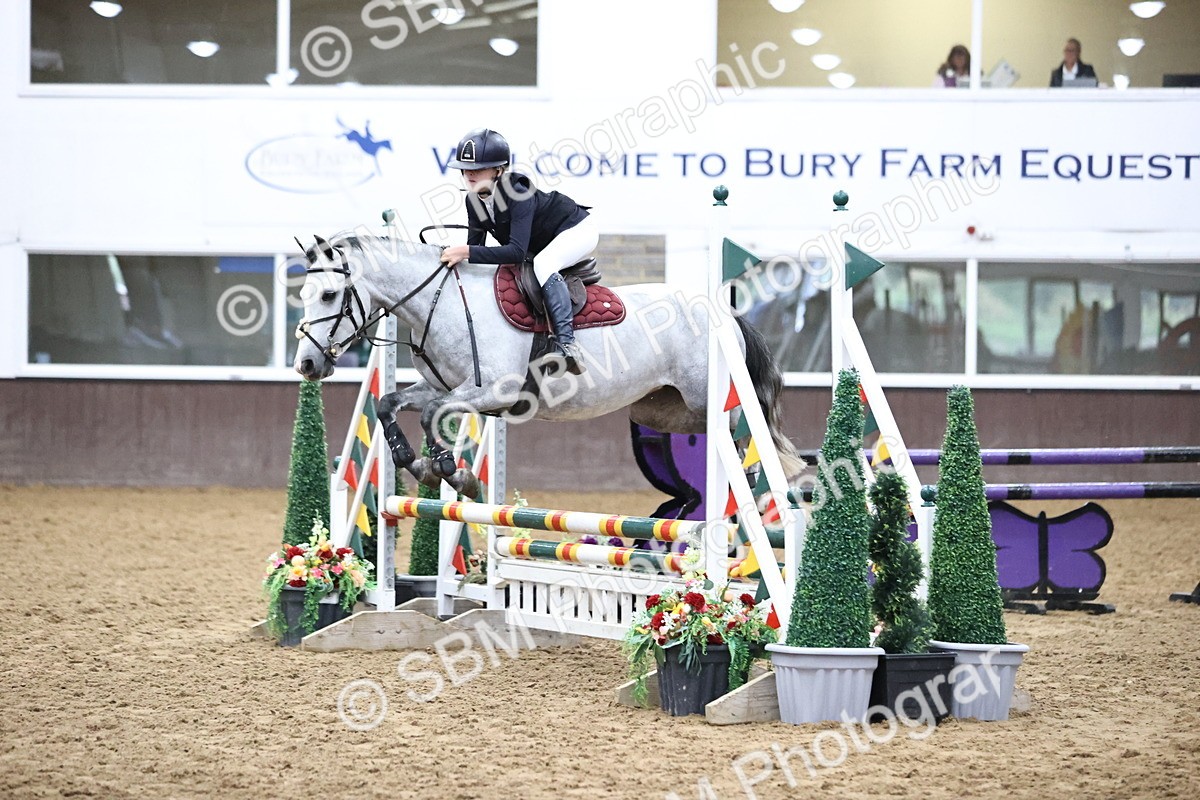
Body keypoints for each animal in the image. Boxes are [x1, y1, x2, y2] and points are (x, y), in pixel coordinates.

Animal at [292, 232, 803, 499]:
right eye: (303, 293)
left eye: (330, 295)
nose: (307, 364)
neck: (446, 303)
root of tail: (723, 312)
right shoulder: (444, 387)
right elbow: (389, 403)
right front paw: (417, 465)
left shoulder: (493, 390)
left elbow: (437, 413)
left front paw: (451, 472)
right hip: (664, 411)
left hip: (710, 400)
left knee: (744, 439)